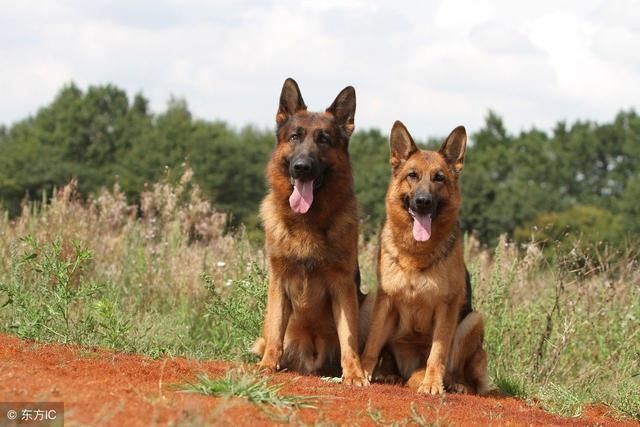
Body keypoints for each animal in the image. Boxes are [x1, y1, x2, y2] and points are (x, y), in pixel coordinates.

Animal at [252, 77, 368, 388]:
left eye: (323, 139)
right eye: (295, 136)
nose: (301, 167)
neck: (307, 222)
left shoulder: (343, 285)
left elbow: (349, 337)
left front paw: (354, 373)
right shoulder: (279, 282)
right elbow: (275, 332)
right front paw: (267, 365)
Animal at [360, 119, 490, 394]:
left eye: (439, 178)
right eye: (412, 175)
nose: (422, 201)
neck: (415, 253)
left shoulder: (447, 307)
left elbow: (437, 353)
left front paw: (431, 383)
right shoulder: (386, 301)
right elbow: (373, 345)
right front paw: (361, 372)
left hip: (472, 320)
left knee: (460, 374)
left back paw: (454, 384)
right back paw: (391, 375)